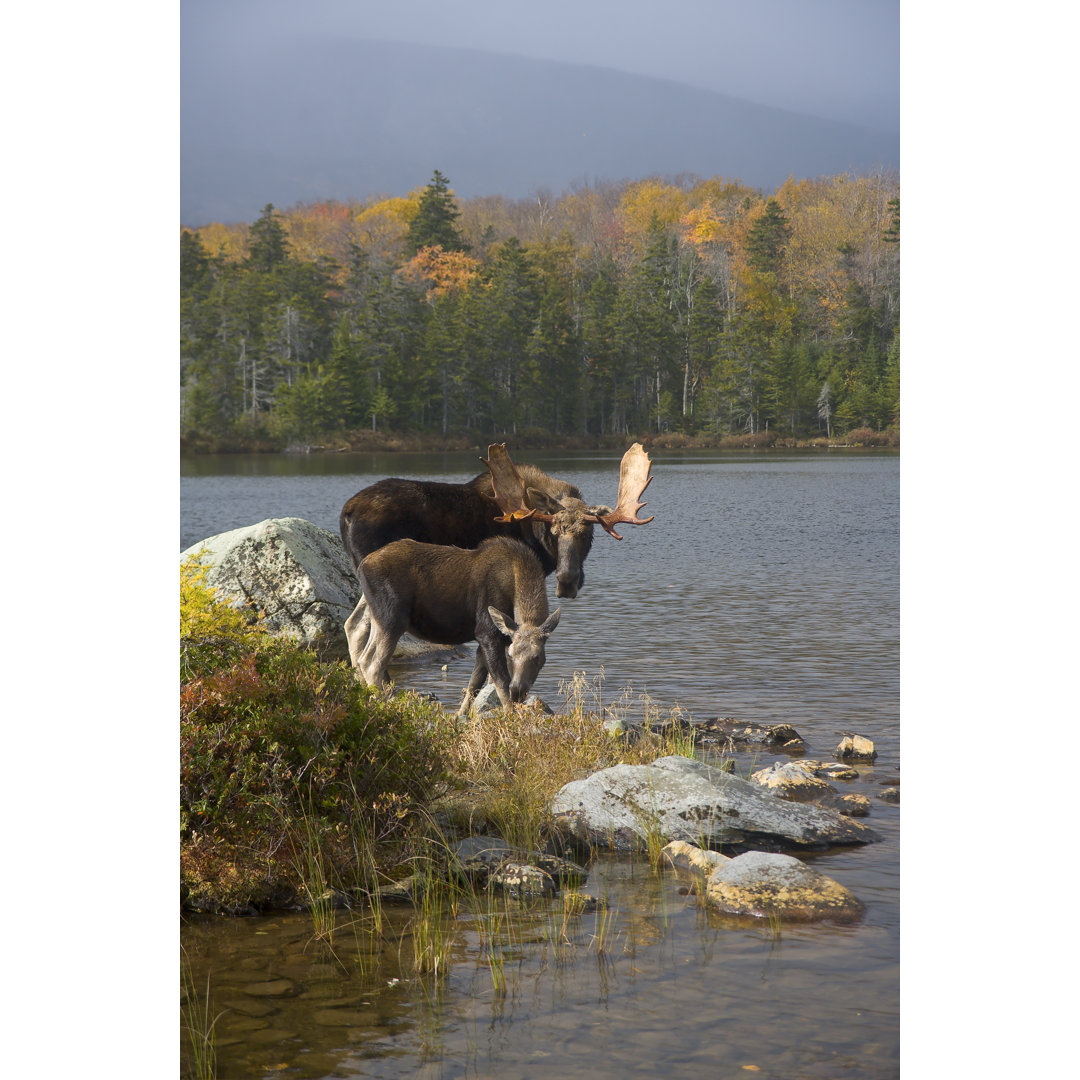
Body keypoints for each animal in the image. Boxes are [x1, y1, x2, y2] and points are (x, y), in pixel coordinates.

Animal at [356, 533, 561, 717]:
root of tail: (362, 565)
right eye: (510, 655)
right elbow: (501, 684)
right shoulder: (487, 634)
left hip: (377, 618)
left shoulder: (488, 640)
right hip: (392, 620)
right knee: (374, 665)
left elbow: (474, 685)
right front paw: (512, 719)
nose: (518, 691)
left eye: (538, 658)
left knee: (363, 657)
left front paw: (460, 716)